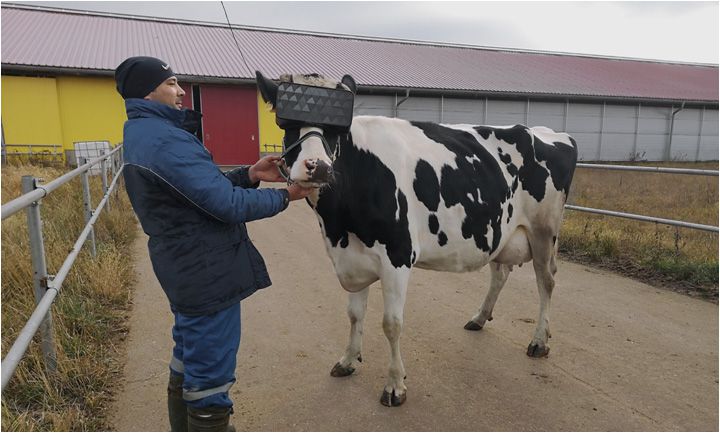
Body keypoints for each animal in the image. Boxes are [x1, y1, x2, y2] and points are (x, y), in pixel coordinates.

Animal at [256, 71, 578, 407]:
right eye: (287, 125)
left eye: (337, 130)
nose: (317, 166)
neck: (338, 226)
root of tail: (549, 133)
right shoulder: (352, 258)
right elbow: (355, 315)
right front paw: (347, 361)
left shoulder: (397, 256)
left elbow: (391, 324)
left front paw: (395, 385)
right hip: (499, 230)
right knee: (500, 273)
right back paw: (479, 317)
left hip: (544, 231)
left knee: (546, 281)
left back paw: (539, 341)